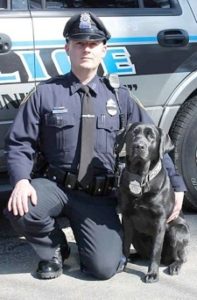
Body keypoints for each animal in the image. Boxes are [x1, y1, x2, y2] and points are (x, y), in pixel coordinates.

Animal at [118, 122, 189, 284]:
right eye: (133, 133)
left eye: (151, 136)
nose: (139, 146)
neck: (141, 179)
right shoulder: (127, 218)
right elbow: (125, 244)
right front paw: (122, 262)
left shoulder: (160, 222)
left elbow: (155, 251)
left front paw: (152, 274)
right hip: (137, 234)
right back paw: (133, 256)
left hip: (177, 231)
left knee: (180, 257)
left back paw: (175, 266)